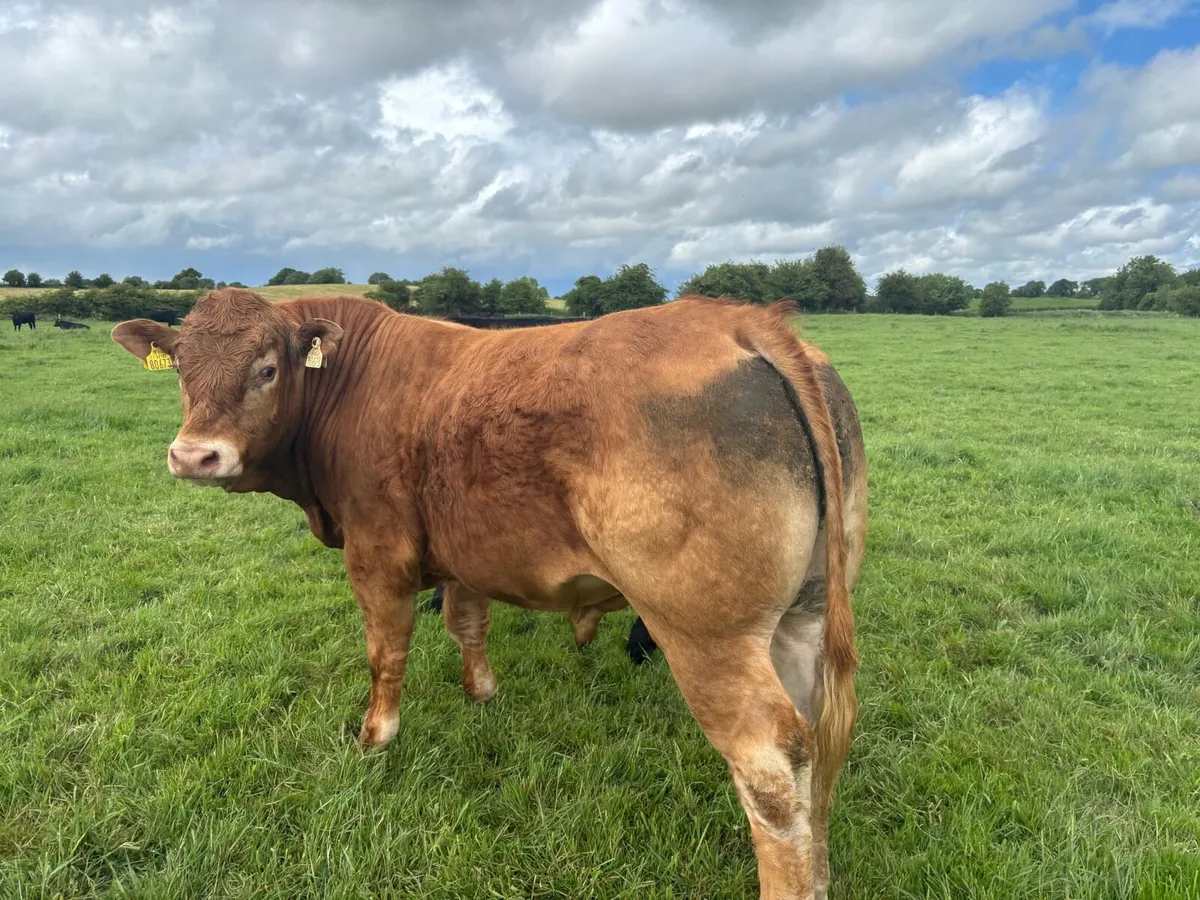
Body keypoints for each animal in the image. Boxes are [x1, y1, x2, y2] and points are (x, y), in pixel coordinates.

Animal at [111, 287, 868, 900]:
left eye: (267, 369)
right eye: (181, 367)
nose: (194, 455)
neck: (351, 387)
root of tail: (741, 321)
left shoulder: (378, 554)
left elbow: (386, 653)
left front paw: (375, 738)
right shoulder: (461, 557)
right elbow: (467, 625)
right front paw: (482, 693)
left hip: (707, 637)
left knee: (772, 767)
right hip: (802, 620)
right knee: (817, 745)